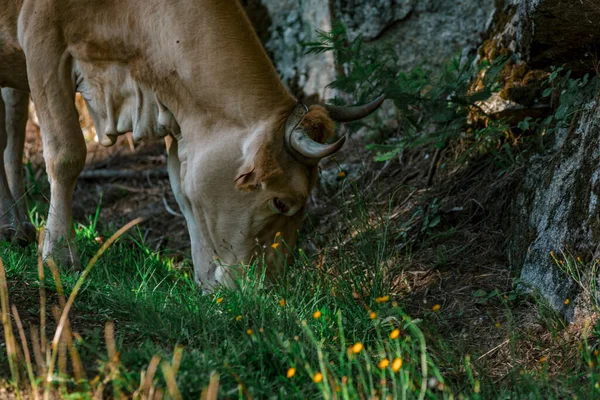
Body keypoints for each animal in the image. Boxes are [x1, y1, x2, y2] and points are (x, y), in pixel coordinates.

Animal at [0, 0, 382, 294]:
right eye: (280, 202)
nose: (268, 289)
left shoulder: (178, 112)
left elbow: (183, 189)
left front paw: (205, 282)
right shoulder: (41, 37)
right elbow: (65, 154)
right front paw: (59, 257)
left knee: (11, 124)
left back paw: (15, 227)